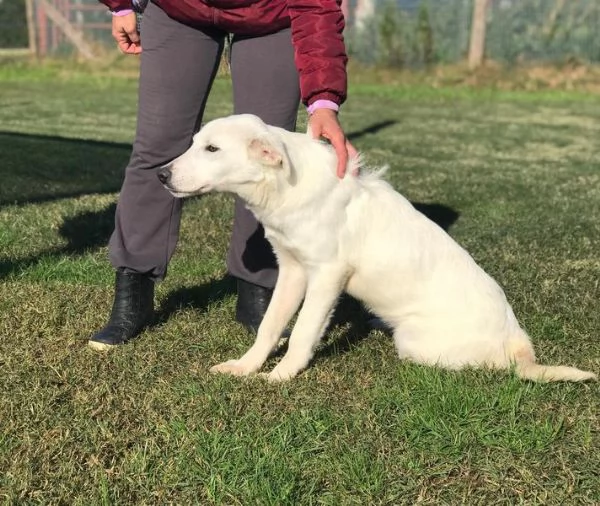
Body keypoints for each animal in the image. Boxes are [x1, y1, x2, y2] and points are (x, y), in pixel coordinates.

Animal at [158, 113, 596, 384]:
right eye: (196, 143)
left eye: (212, 150)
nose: (161, 174)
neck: (287, 187)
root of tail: (517, 341)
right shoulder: (293, 269)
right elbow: (270, 326)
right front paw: (246, 366)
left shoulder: (327, 275)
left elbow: (302, 332)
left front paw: (281, 376)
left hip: (416, 342)